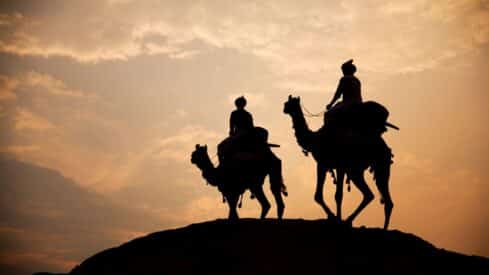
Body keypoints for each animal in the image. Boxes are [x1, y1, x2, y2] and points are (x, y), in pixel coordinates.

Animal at [282, 96, 392, 230]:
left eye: (289, 103)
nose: (284, 109)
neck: (315, 139)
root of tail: (386, 148)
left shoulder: (326, 165)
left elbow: (329, 195)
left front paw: (335, 217)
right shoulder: (334, 166)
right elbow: (331, 195)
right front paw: (336, 217)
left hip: (367, 167)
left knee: (373, 196)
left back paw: (350, 220)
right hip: (370, 168)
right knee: (378, 197)